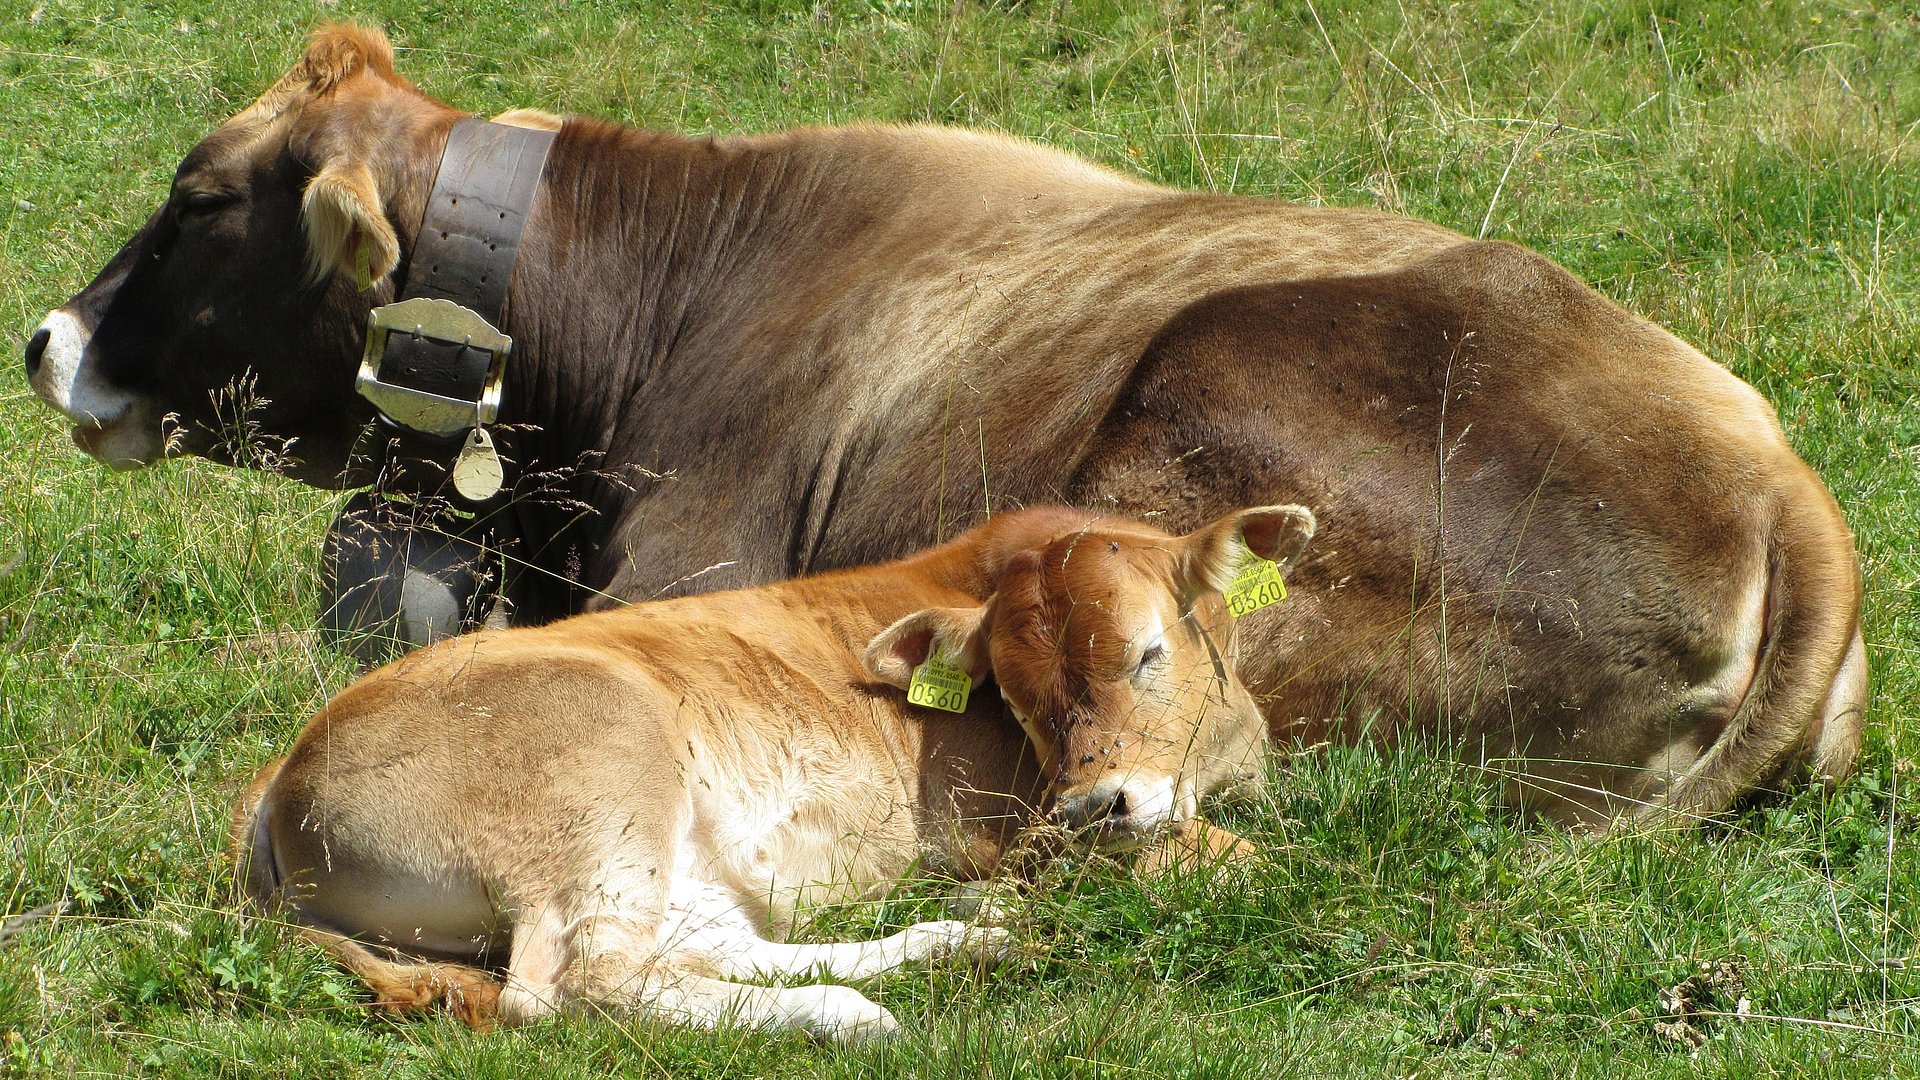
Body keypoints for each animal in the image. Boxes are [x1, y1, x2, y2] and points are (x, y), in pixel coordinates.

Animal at [232, 503, 1320, 1037]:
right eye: (1012, 696)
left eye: (1146, 652)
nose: (1097, 805)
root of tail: (282, 773)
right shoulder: (1016, 835)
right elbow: (1246, 864)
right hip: (604, 777)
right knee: (578, 984)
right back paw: (855, 1014)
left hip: (666, 856)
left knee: (711, 950)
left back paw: (955, 944)